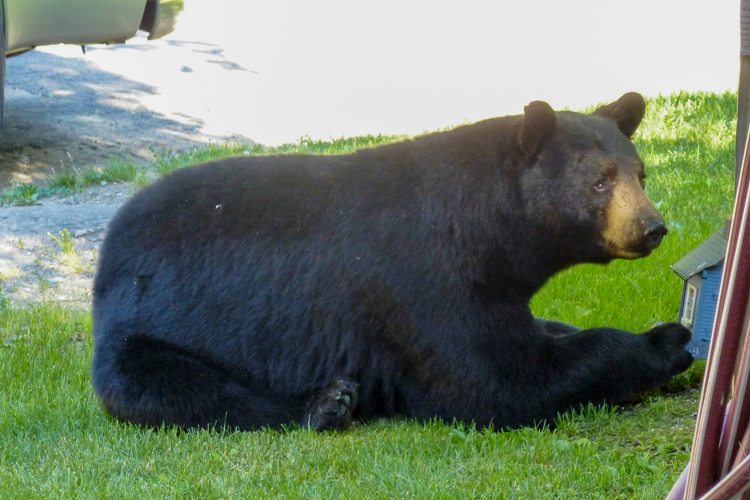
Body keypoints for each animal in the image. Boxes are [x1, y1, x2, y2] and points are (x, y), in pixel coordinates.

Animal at [91, 93, 696, 430]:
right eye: (600, 181)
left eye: (639, 172)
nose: (653, 227)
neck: (483, 226)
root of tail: (108, 251)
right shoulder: (419, 280)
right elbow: (496, 381)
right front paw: (664, 342)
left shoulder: (493, 283)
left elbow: (535, 333)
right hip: (146, 328)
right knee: (182, 391)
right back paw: (325, 404)